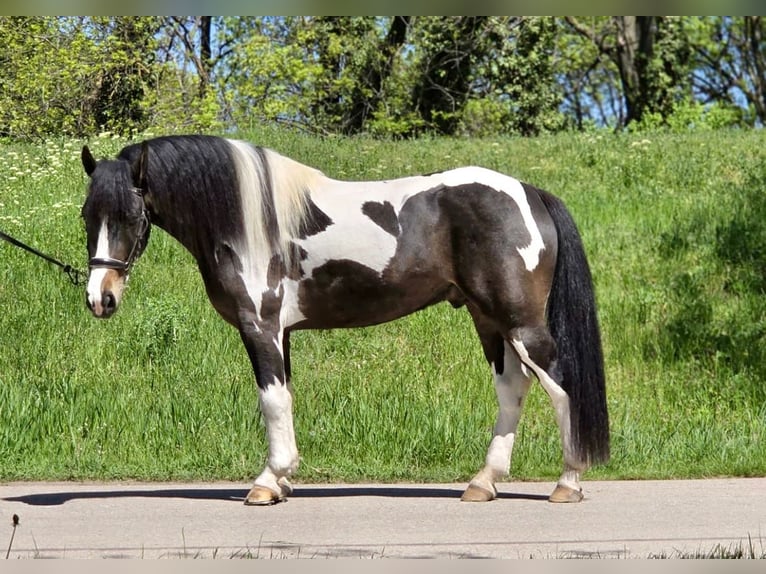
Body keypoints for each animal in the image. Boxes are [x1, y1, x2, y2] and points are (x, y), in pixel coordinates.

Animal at [80, 135, 609, 506]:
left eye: (130, 216)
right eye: (88, 215)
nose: (99, 298)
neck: (248, 221)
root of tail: (529, 193)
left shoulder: (260, 328)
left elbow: (271, 401)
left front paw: (267, 482)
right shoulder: (282, 334)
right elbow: (285, 400)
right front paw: (283, 481)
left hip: (520, 323)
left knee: (561, 386)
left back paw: (567, 481)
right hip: (489, 320)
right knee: (512, 388)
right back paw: (483, 482)